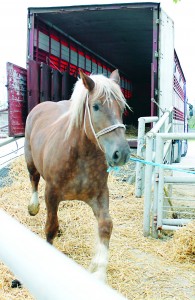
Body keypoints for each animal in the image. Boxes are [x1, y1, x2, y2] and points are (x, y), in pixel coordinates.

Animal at [24, 68, 131, 282]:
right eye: (96, 106)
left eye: (122, 107)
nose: (121, 153)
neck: (81, 155)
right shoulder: (52, 193)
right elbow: (50, 228)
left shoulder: (100, 194)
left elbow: (106, 225)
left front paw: (98, 272)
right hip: (30, 160)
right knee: (33, 179)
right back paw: (33, 207)